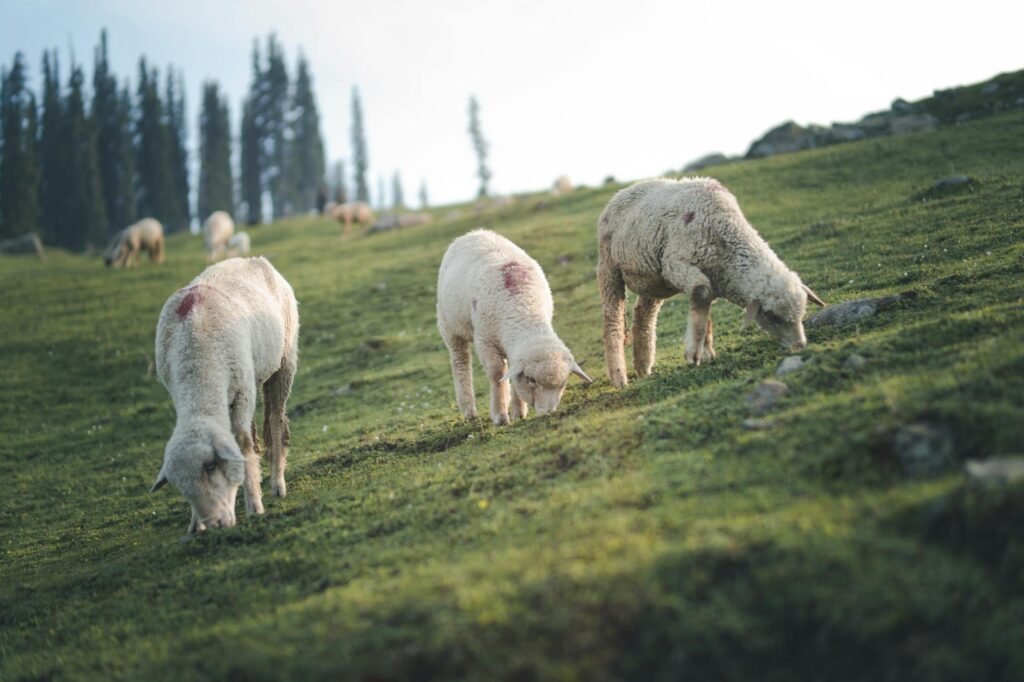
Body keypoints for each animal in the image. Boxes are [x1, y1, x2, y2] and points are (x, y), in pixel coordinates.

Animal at [151, 256, 299, 533]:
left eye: (210, 466)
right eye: (182, 487)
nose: (216, 523)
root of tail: (252, 259)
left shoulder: (243, 392)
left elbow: (243, 442)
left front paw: (254, 507)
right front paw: (195, 524)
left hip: (284, 361)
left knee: (275, 420)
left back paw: (277, 483)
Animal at [437, 228, 591, 425]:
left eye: (563, 383)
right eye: (532, 380)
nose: (548, 413)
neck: (525, 309)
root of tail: (475, 232)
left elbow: (513, 374)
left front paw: (519, 412)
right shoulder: (484, 339)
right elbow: (497, 374)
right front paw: (500, 416)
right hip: (449, 325)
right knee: (460, 362)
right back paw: (469, 411)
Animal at [597, 177, 825, 387]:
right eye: (773, 317)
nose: (800, 345)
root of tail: (623, 191)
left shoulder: (711, 276)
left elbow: (704, 308)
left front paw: (705, 353)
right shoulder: (675, 264)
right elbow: (702, 292)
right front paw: (693, 353)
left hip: (653, 280)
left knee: (643, 316)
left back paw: (643, 366)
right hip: (610, 268)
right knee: (612, 320)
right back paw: (619, 377)